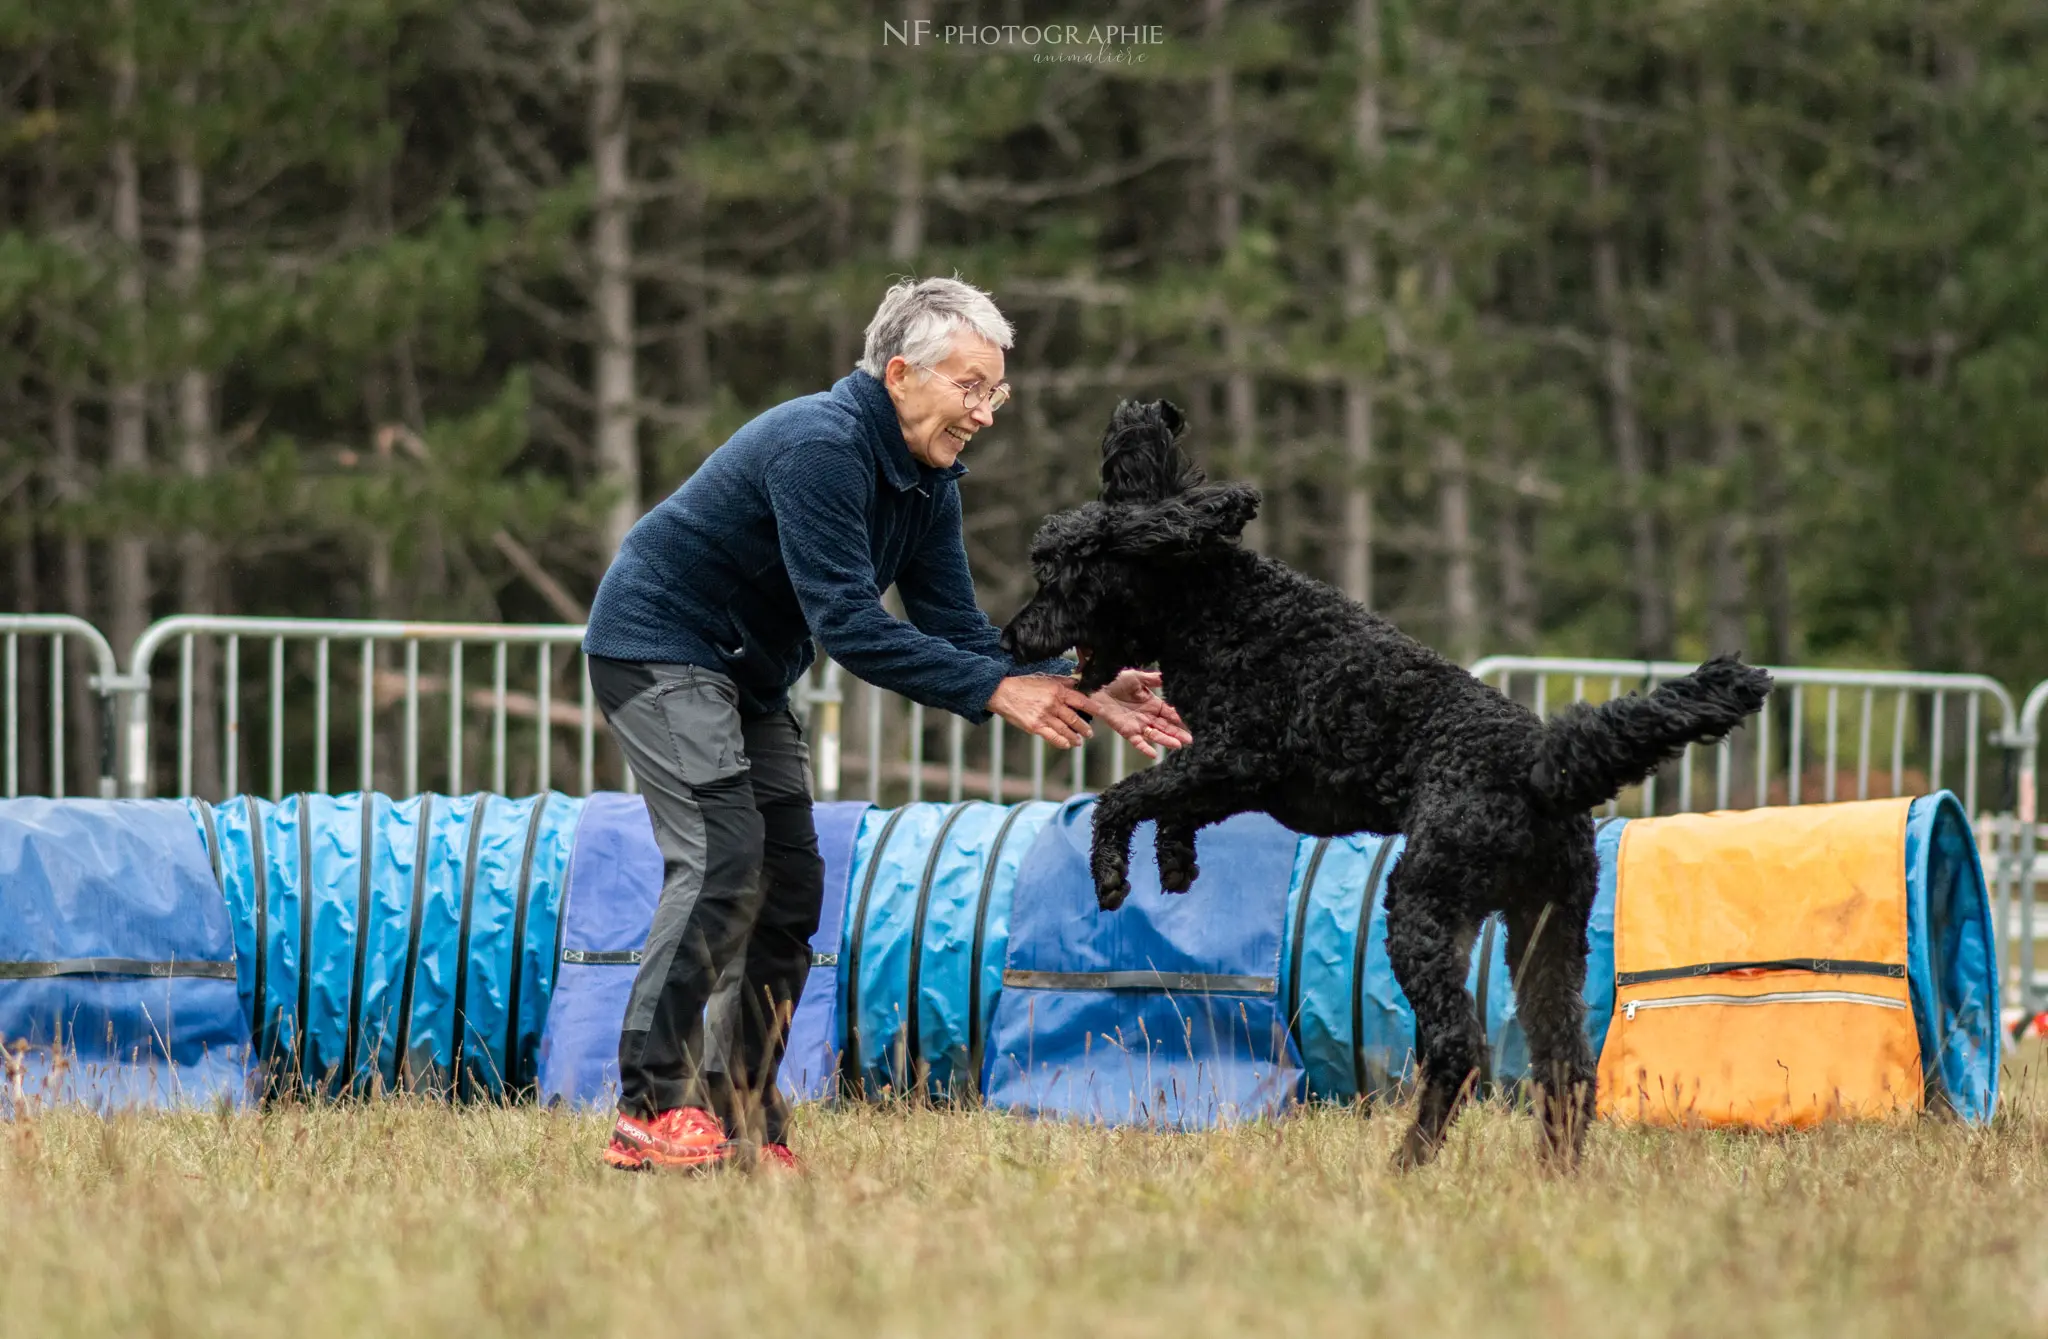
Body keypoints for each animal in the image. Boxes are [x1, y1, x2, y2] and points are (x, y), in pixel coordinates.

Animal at [999, 401, 1769, 1179]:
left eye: (1060, 574)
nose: (1010, 637)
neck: (1223, 607)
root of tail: (1541, 759)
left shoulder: (1240, 756)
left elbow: (1126, 795)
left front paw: (1111, 873)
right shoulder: (1240, 774)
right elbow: (1170, 803)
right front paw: (1176, 862)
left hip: (1422, 903)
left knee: (1460, 1047)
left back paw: (1409, 1161)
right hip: (1547, 925)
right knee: (1565, 1061)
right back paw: (1553, 1173)